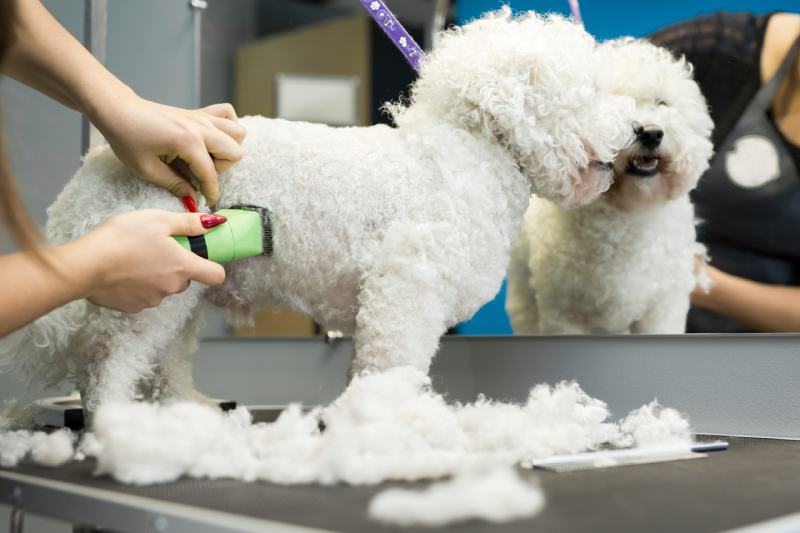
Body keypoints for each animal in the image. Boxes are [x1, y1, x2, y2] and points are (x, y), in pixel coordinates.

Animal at [3, 10, 636, 414]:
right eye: (591, 91)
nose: (638, 130)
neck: (472, 154)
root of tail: (92, 165)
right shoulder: (403, 293)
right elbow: (391, 364)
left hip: (185, 284)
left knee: (167, 361)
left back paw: (188, 408)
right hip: (149, 283)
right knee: (110, 362)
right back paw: (115, 425)